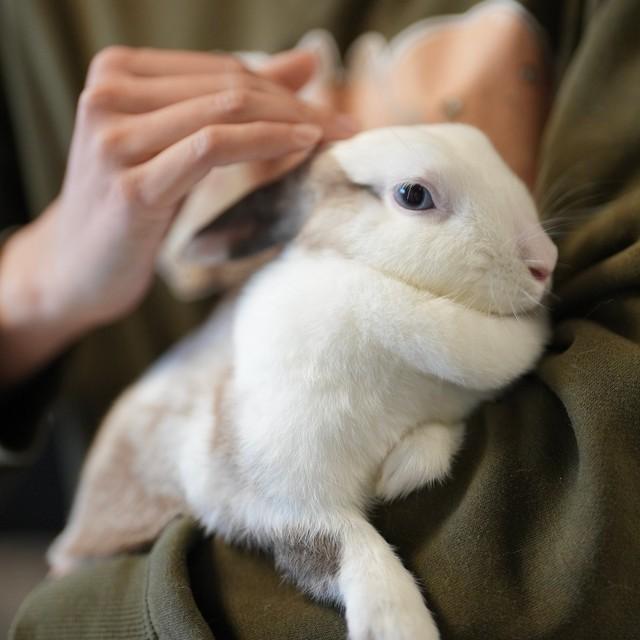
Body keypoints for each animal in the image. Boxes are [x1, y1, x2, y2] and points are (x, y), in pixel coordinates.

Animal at [48, 125, 556, 640]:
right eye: (413, 195)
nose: (545, 262)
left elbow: (438, 437)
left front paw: (401, 471)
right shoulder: (280, 500)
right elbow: (354, 549)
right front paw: (398, 625)